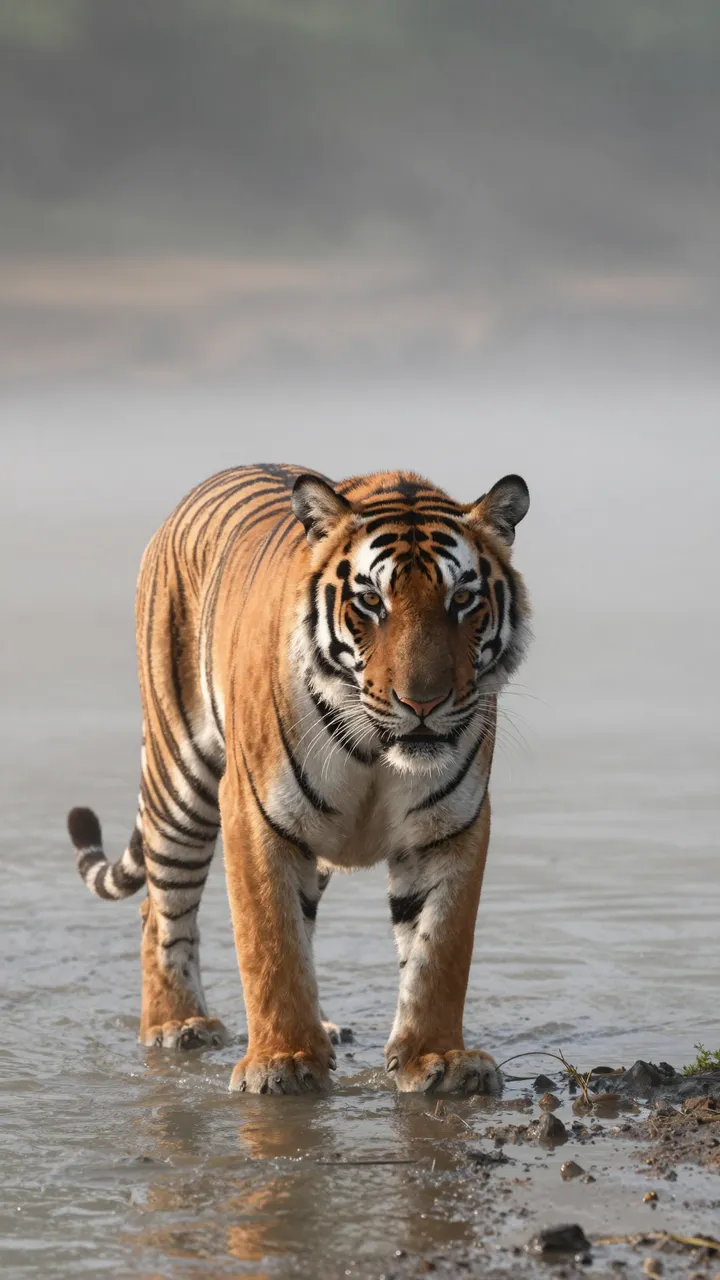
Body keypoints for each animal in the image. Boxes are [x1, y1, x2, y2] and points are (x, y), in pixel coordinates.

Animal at [68, 464, 530, 1095]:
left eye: (462, 599)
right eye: (371, 602)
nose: (423, 703)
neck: (378, 751)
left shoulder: (450, 826)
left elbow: (439, 950)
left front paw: (437, 1059)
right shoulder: (255, 815)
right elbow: (271, 946)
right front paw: (281, 1062)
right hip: (180, 783)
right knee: (161, 912)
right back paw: (176, 1024)